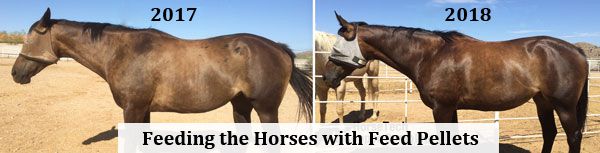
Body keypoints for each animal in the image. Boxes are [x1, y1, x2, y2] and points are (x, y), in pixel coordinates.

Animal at [10, 8, 314, 123]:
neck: (123, 51)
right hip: (240, 106)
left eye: (28, 38)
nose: (15, 73)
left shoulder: (133, 109)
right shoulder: (143, 110)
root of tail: (279, 48)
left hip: (266, 109)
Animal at [326, 12, 588, 152]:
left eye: (337, 45)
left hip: (564, 106)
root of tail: (575, 49)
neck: (430, 55)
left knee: (573, 137)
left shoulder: (442, 108)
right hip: (542, 102)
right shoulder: (450, 108)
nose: (328, 77)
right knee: (550, 133)